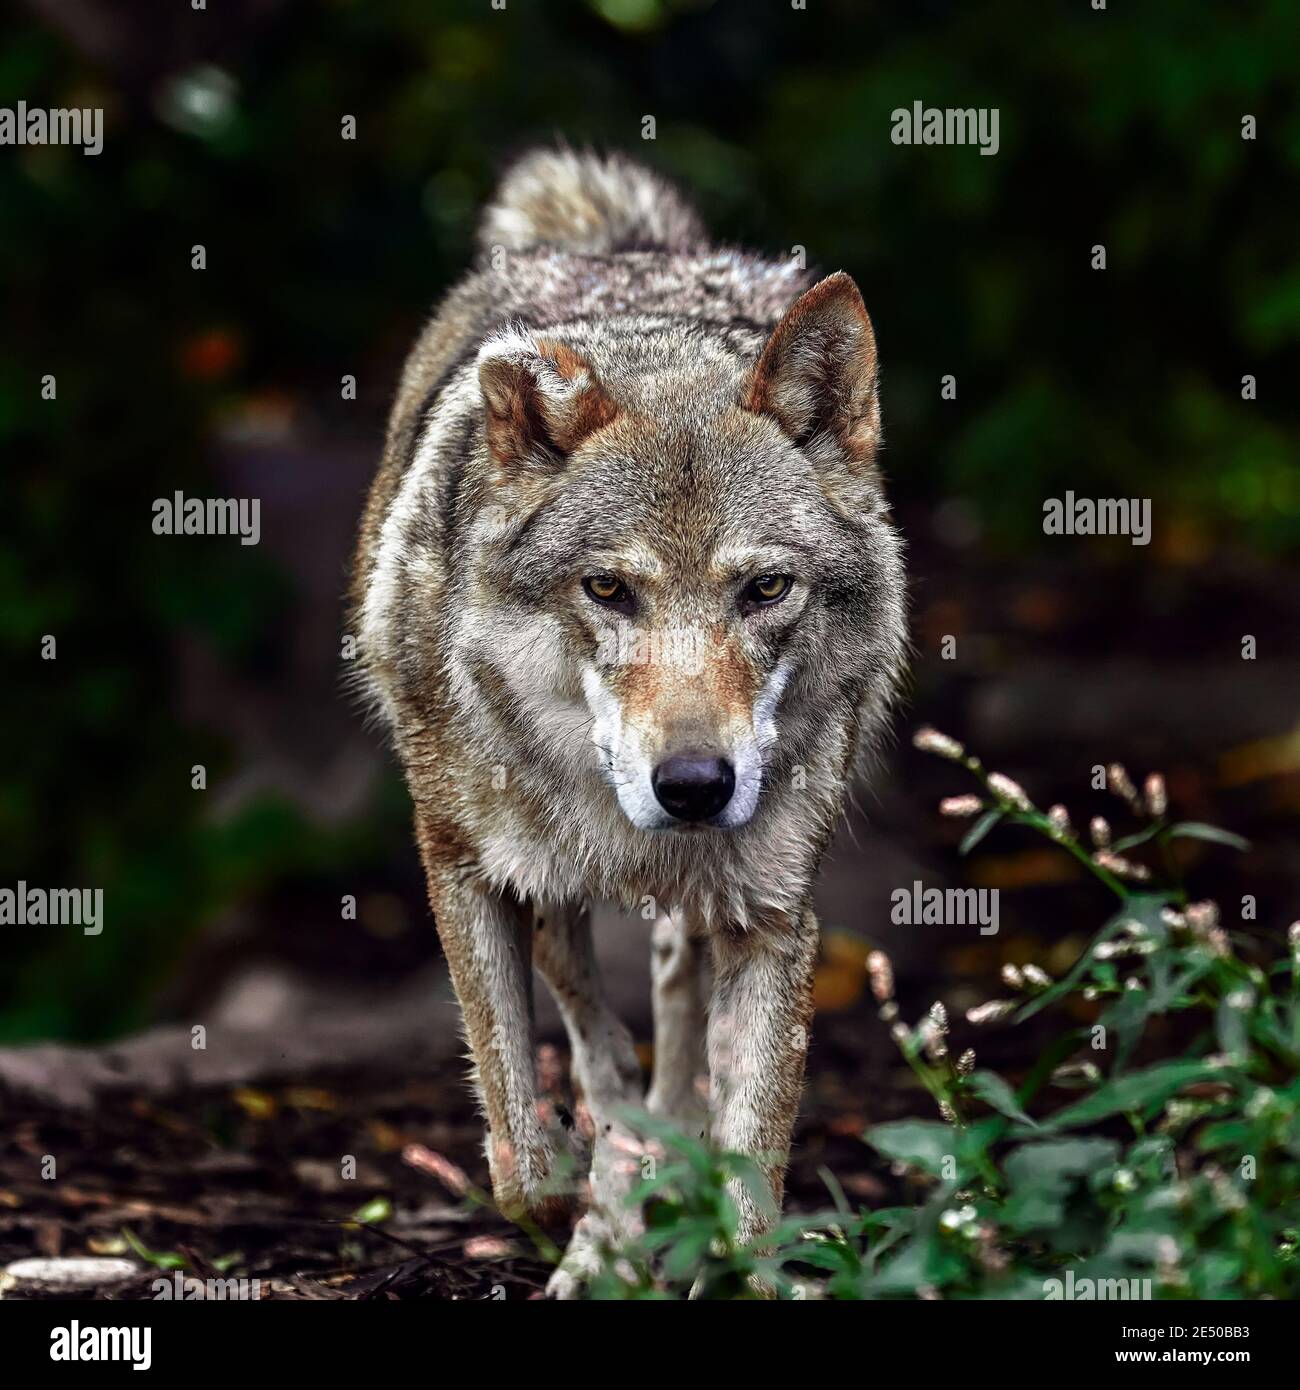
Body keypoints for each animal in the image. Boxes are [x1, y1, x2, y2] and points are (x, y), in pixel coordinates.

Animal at [350, 146, 912, 1295]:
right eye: (608, 590)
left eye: (766, 590)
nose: (693, 787)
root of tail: (627, 250)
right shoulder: (462, 865)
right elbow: (521, 1144)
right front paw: (574, 1193)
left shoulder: (773, 916)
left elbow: (751, 1179)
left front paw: (708, 1242)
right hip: (551, 896)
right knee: (596, 1042)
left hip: (693, 916)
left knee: (676, 1051)